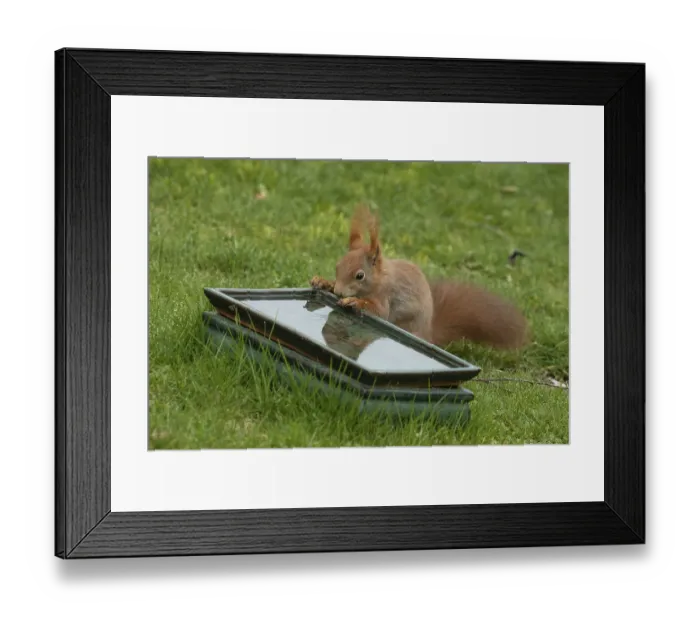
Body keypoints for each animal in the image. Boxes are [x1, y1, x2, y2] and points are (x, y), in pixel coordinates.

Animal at [310, 204, 530, 350]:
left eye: (359, 275)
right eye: (337, 266)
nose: (339, 291)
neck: (381, 277)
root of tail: (428, 333)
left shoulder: (386, 295)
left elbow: (379, 312)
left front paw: (354, 301)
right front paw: (323, 282)